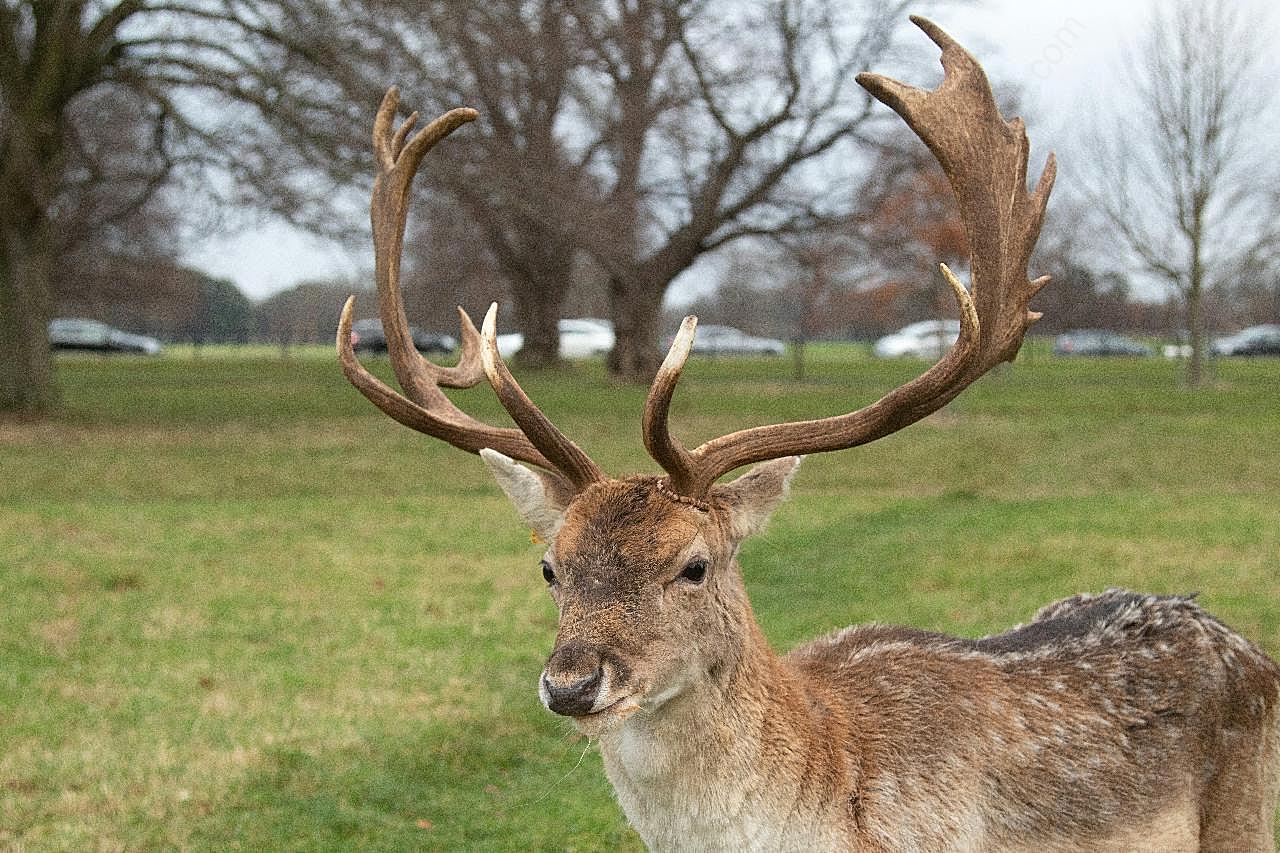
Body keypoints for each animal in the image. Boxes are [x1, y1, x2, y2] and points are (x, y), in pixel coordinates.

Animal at [337, 16, 1280, 845]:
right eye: (549, 565)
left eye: (693, 565)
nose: (571, 682)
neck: (829, 788)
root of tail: (1245, 645)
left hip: (1246, 818)